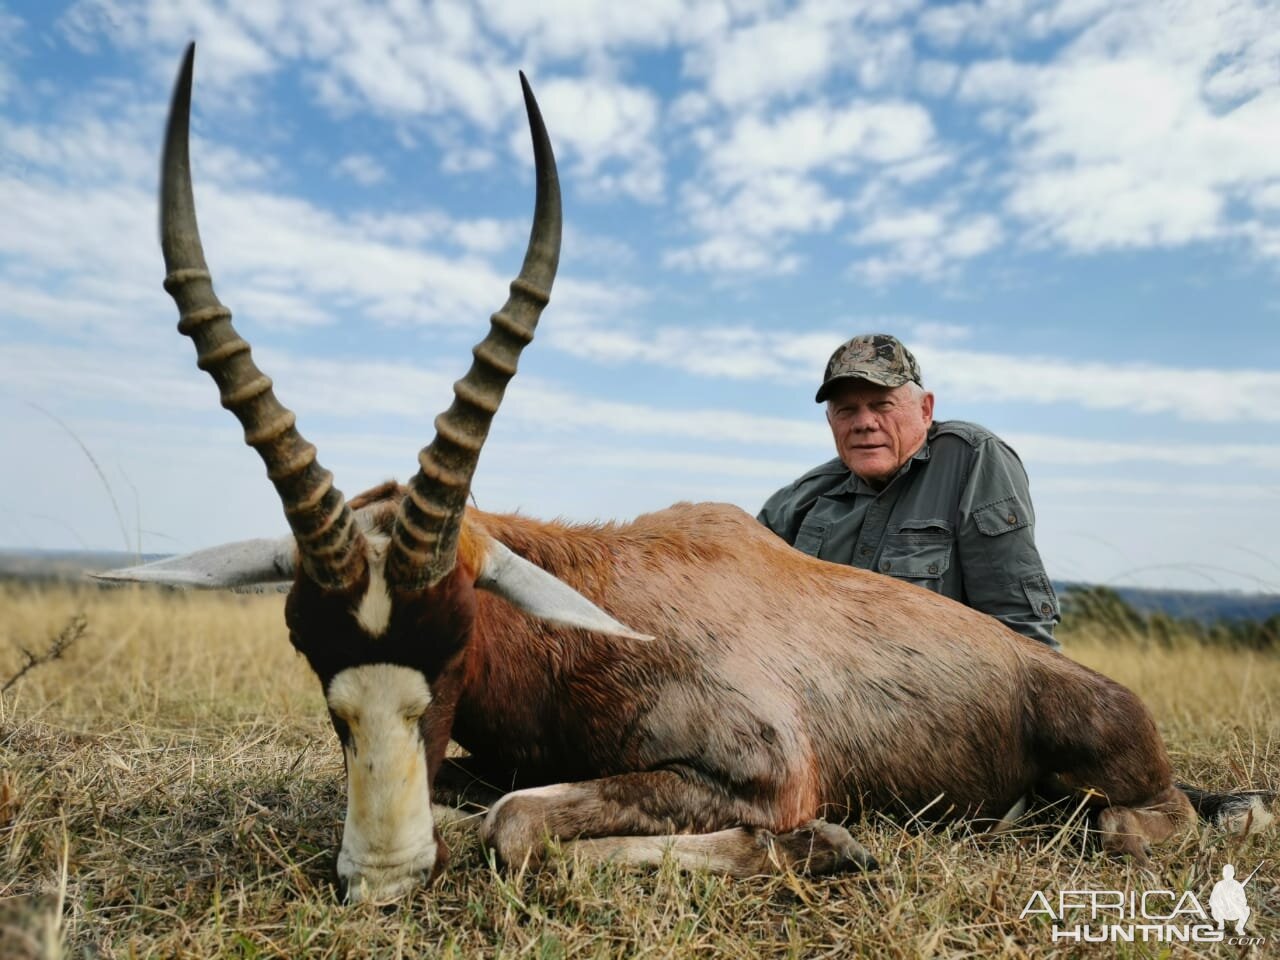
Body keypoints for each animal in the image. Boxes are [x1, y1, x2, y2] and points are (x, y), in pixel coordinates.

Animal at [104, 45, 1274, 906]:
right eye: (308, 643)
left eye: (458, 636)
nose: (381, 878)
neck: (594, 617)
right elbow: (482, 803)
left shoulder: (758, 774)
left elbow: (513, 824)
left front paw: (829, 847)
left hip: (1113, 791)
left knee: (1130, 830)